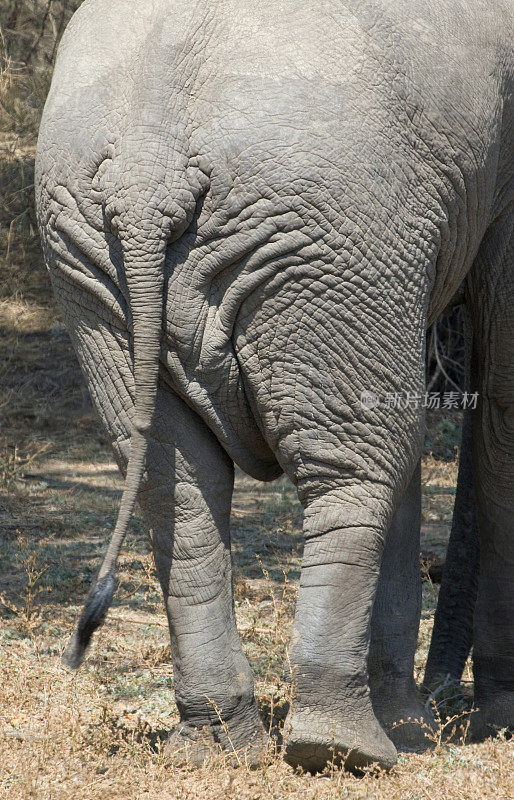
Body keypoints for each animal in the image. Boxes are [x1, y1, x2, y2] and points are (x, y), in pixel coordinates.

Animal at [34, 0, 510, 772]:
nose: (450, 702)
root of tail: (147, 178)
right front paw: (489, 724)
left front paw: (422, 725)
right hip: (329, 234)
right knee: (355, 463)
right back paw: (342, 750)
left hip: (94, 257)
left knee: (177, 480)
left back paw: (223, 744)